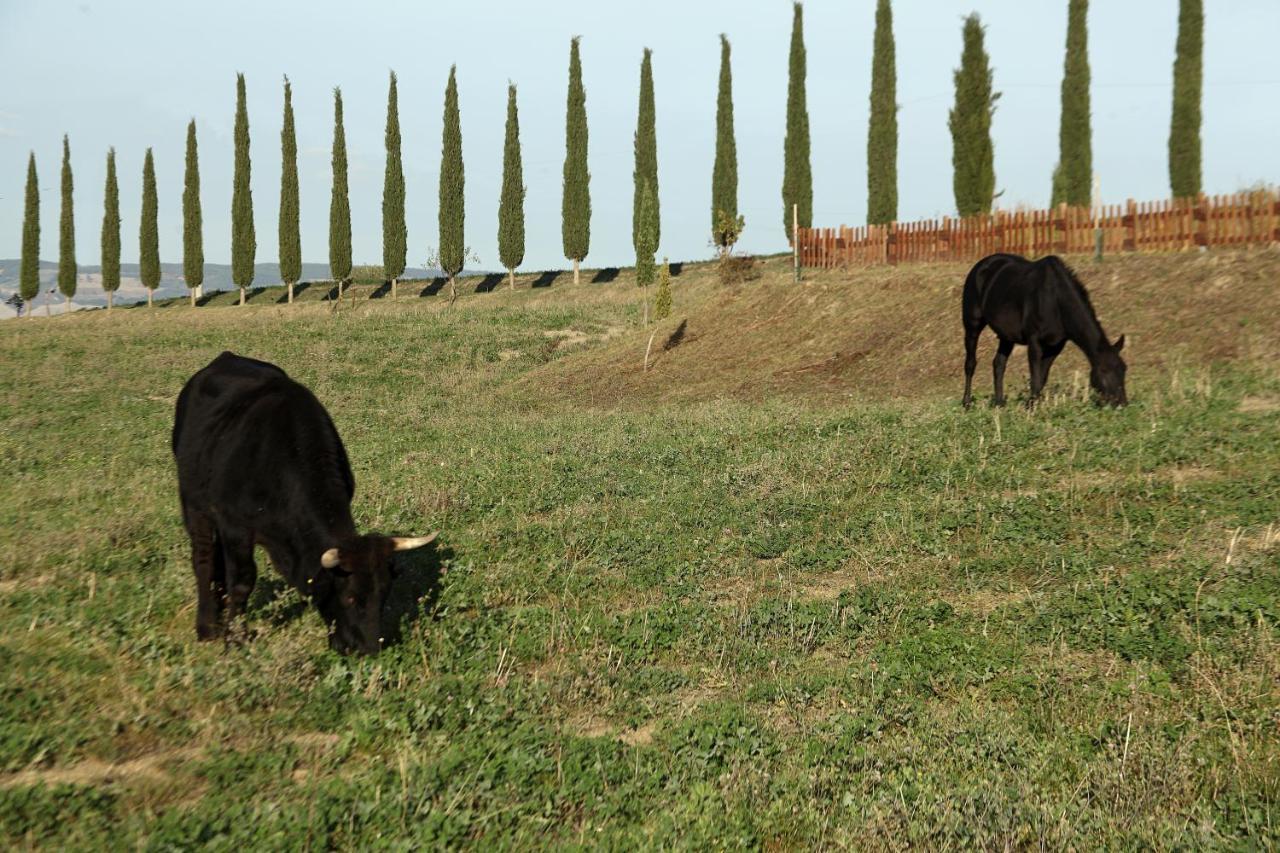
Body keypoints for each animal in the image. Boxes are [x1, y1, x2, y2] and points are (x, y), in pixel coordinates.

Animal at [172, 350, 437, 650]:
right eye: (349, 597)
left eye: (384, 594)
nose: (369, 649)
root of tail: (224, 358)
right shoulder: (234, 526)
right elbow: (242, 580)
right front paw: (235, 637)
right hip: (194, 504)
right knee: (204, 557)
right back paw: (207, 627)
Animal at [962, 251, 1131, 407]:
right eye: (1103, 370)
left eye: (1124, 369)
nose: (1121, 403)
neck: (1054, 300)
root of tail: (981, 266)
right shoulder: (1034, 341)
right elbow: (1035, 379)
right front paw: (1031, 409)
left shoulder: (1055, 346)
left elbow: (1041, 379)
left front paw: (1032, 405)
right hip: (972, 325)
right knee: (970, 363)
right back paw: (967, 403)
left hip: (1006, 336)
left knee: (998, 364)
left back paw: (999, 404)